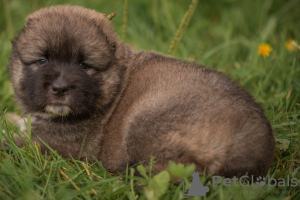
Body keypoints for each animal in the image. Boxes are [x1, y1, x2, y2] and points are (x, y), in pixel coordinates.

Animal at [7, 4, 276, 177]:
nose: (60, 88)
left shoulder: (57, 142)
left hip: (147, 123)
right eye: (42, 61)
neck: (115, 85)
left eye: (84, 65)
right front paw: (11, 118)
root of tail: (249, 142)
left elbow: (16, 142)